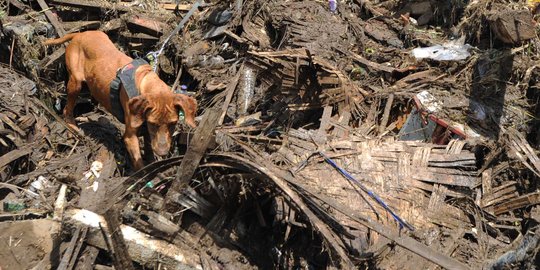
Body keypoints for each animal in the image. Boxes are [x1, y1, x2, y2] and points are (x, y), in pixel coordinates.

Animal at [43, 31, 197, 169]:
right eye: (153, 123)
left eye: (173, 123)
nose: (163, 153)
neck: (146, 81)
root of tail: (79, 34)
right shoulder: (130, 136)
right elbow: (139, 164)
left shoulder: (147, 131)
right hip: (75, 83)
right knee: (66, 108)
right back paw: (72, 126)